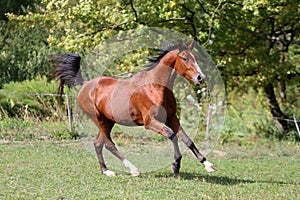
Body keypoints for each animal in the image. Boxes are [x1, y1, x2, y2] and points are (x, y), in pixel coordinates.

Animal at [54, 41, 216, 177]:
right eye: (184, 58)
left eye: (195, 57)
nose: (201, 78)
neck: (155, 87)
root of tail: (85, 84)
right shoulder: (150, 123)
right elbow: (172, 136)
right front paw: (175, 165)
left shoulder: (171, 118)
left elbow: (187, 140)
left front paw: (208, 165)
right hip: (98, 119)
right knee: (109, 144)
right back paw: (133, 170)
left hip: (108, 121)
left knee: (98, 144)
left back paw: (106, 171)